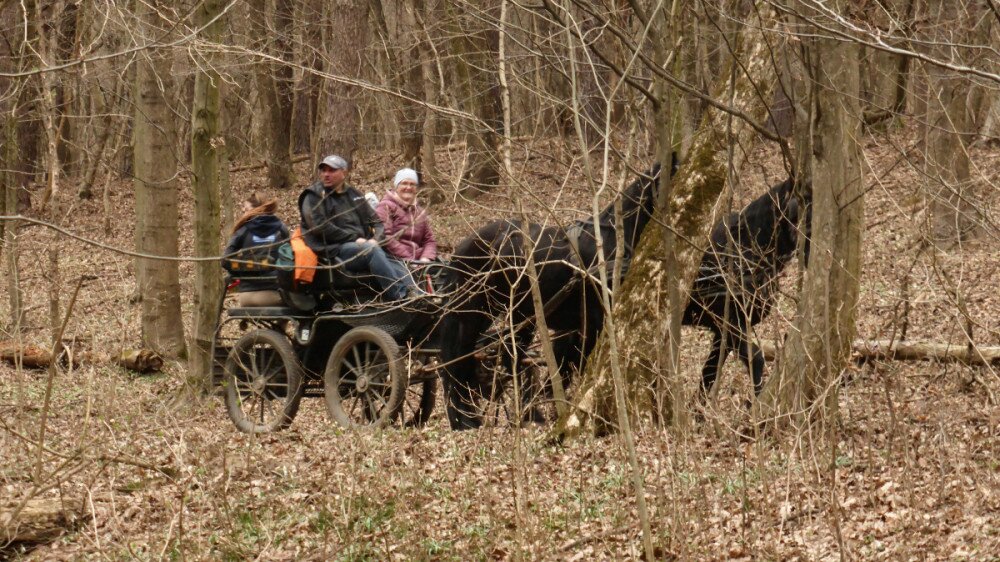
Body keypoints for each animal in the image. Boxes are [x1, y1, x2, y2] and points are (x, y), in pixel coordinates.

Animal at [438, 162, 672, 428]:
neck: (613, 241)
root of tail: (460, 250)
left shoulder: (579, 327)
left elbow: (567, 363)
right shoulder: (595, 319)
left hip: (518, 315)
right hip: (474, 312)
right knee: (459, 364)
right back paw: (472, 418)